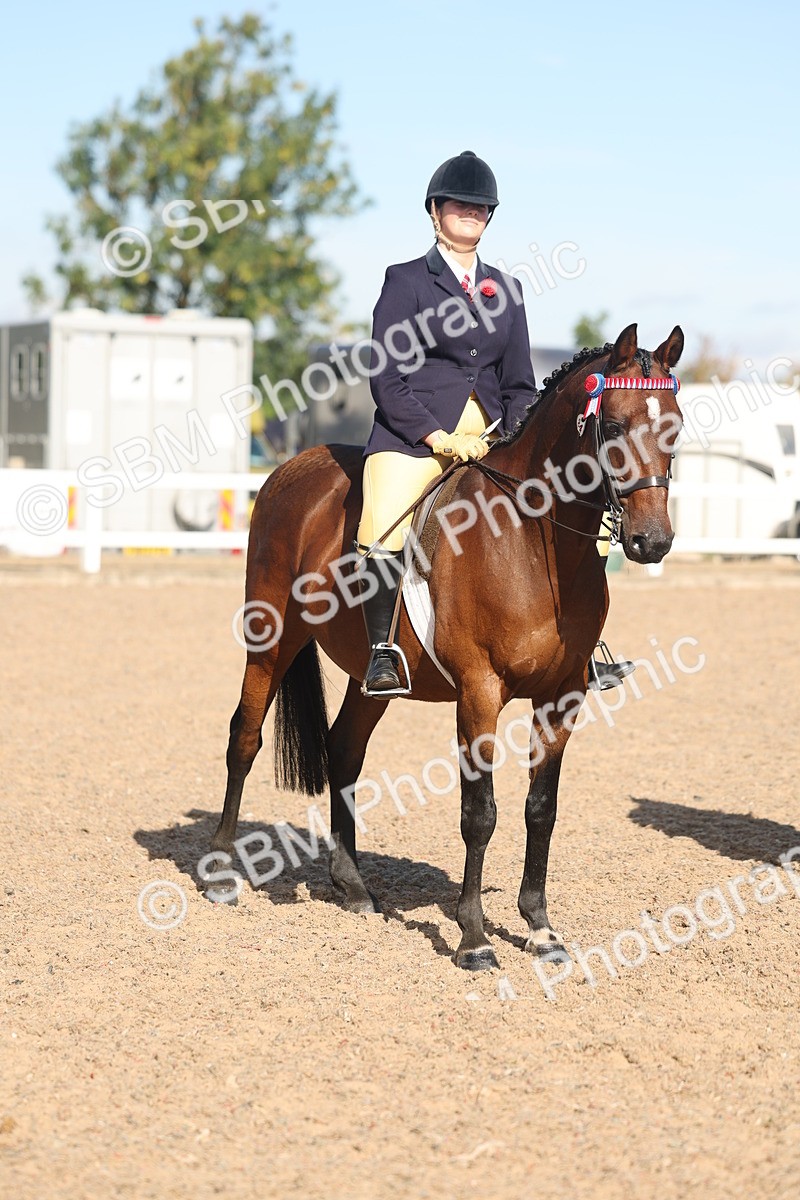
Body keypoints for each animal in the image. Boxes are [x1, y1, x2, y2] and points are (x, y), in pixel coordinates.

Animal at [207, 321, 684, 970]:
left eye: (675, 428)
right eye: (610, 426)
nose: (651, 542)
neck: (531, 542)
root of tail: (293, 467)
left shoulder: (562, 697)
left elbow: (541, 809)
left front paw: (540, 929)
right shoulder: (480, 693)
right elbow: (480, 814)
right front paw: (474, 939)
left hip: (371, 678)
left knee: (344, 749)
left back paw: (351, 886)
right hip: (272, 637)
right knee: (245, 737)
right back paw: (221, 873)